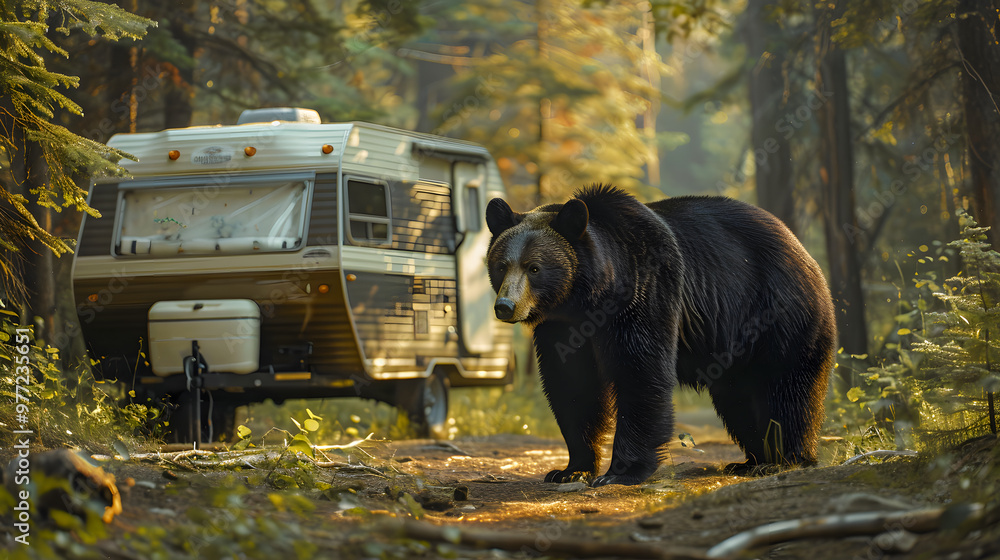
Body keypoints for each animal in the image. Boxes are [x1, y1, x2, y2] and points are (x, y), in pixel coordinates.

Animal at [485, 185, 836, 487]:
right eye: (501, 265)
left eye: (534, 268)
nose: (505, 306)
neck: (588, 297)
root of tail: (803, 251)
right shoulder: (562, 326)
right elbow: (573, 385)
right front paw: (570, 469)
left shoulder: (645, 290)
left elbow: (641, 371)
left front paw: (620, 471)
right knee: (738, 397)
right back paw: (750, 460)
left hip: (777, 313)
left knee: (786, 388)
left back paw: (783, 459)